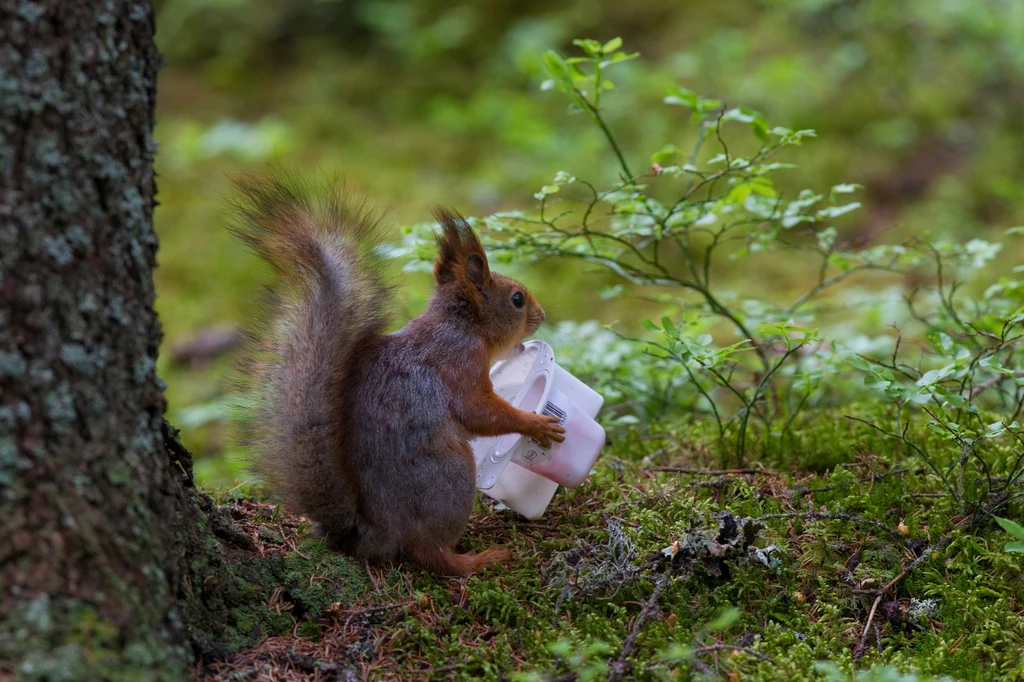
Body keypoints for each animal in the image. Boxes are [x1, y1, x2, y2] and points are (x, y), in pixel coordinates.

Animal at [228, 171, 565, 573]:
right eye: (517, 300)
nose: (542, 315)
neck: (461, 327)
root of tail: (373, 533)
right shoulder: (460, 363)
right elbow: (477, 411)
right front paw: (535, 423)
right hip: (452, 474)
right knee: (430, 553)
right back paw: (476, 560)